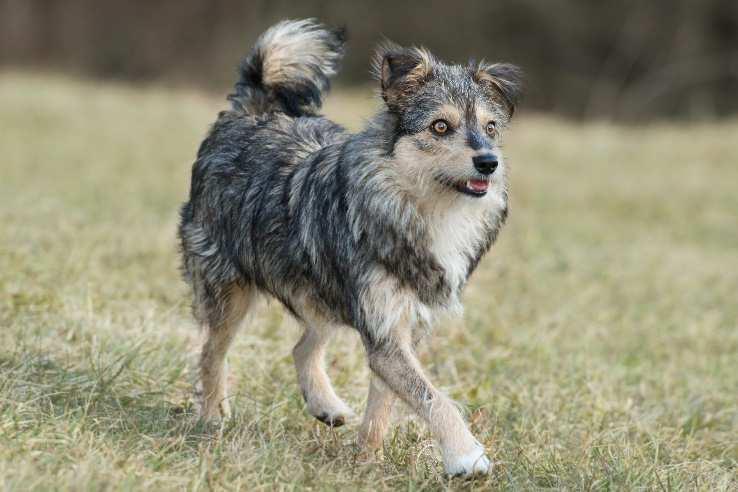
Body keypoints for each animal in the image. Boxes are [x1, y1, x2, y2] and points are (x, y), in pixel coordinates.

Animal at [179, 19, 520, 476]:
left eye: (491, 128)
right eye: (440, 127)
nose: (488, 162)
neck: (423, 209)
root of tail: (251, 110)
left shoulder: (402, 326)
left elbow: (384, 404)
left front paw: (368, 461)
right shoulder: (386, 330)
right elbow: (433, 397)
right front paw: (467, 455)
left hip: (319, 287)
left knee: (301, 346)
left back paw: (326, 405)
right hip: (229, 291)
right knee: (211, 353)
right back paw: (213, 418)